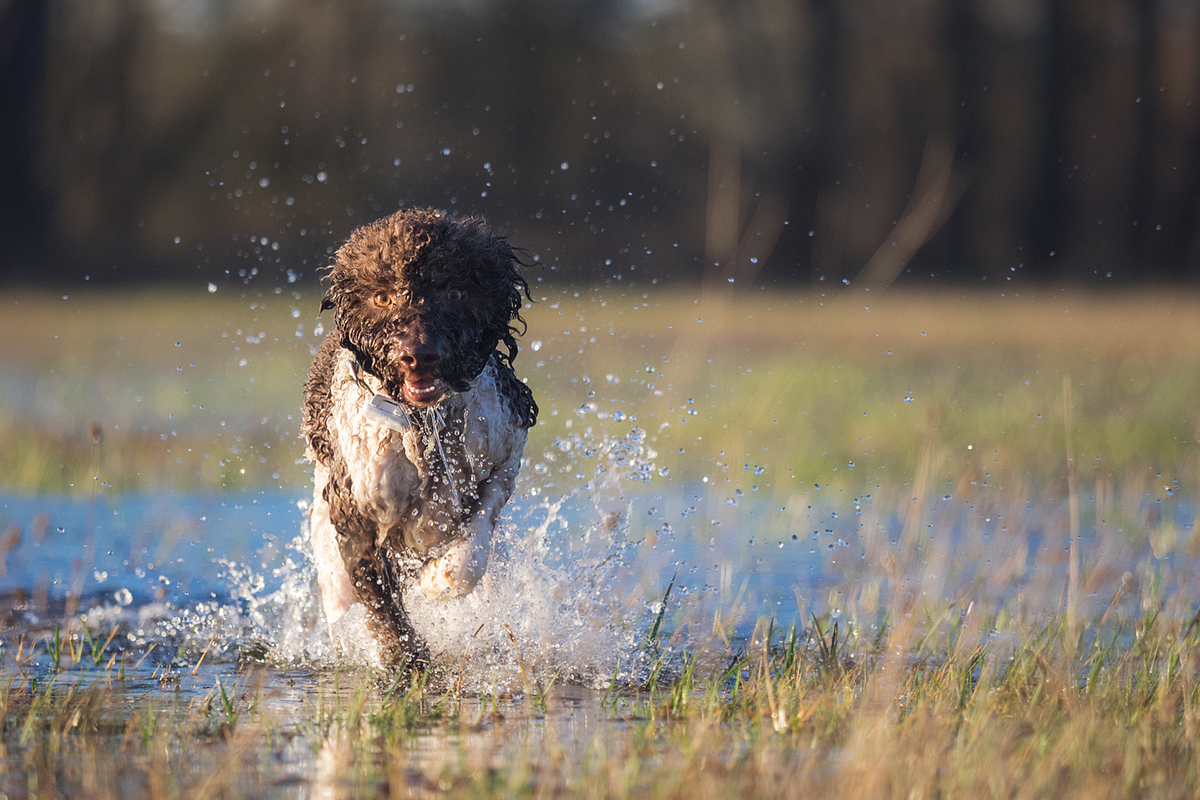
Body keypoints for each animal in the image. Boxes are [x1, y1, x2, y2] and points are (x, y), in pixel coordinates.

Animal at [302, 208, 537, 671]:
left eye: (455, 291)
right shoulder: (356, 509)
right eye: (382, 298)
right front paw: (404, 657)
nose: (418, 355)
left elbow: (468, 553)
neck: (426, 424)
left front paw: (436, 576)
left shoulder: (507, 455)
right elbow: (378, 599)